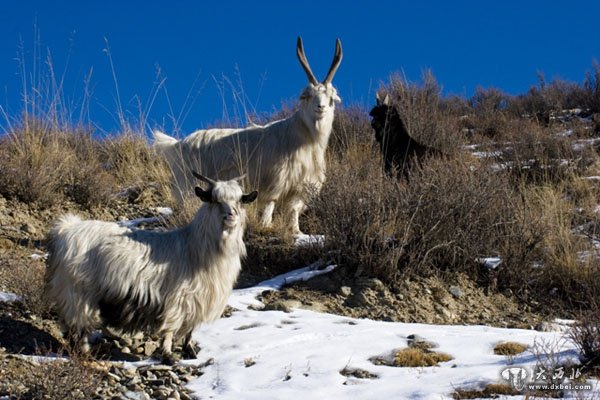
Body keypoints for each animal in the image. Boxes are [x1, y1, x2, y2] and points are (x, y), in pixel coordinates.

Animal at [44, 173, 255, 364]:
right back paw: (86, 354)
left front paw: (190, 351)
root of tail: (65, 229)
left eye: (240, 200)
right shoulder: (176, 300)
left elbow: (190, 330)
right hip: (78, 293)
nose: (231, 215)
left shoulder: (197, 301)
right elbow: (170, 329)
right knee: (79, 327)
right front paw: (169, 356)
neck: (194, 249)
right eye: (214, 199)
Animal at [152, 36, 344, 234]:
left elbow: (294, 209)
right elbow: (271, 203)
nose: (321, 107)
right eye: (308, 95)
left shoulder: (301, 184)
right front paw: (266, 225)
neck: (303, 136)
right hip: (188, 183)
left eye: (331, 96)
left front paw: (297, 232)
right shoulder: (276, 179)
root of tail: (177, 144)